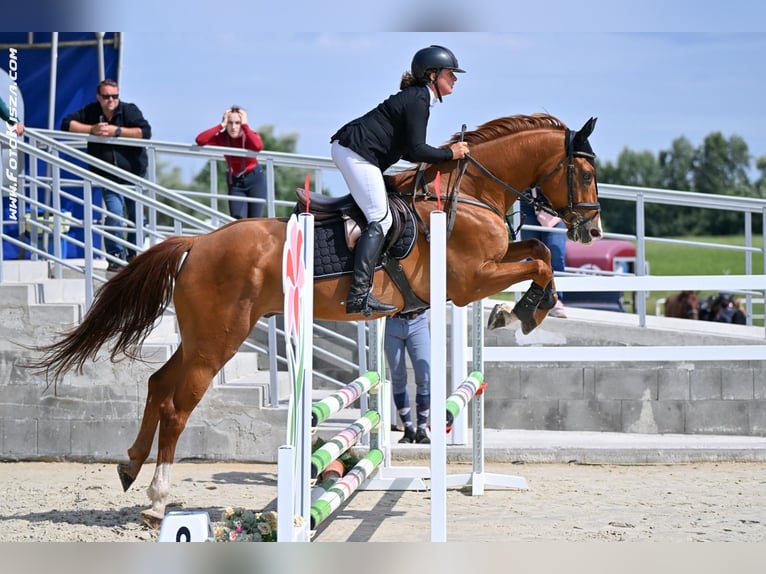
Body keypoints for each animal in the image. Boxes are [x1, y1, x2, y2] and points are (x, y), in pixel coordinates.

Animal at [26, 113, 602, 526]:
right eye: (586, 172)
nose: (591, 230)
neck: (471, 193)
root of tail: (197, 244)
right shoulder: (468, 281)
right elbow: (538, 261)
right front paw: (521, 311)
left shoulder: (486, 267)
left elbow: (535, 252)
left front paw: (521, 309)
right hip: (218, 341)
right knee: (177, 406)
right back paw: (156, 501)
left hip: (200, 338)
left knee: (157, 385)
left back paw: (129, 466)